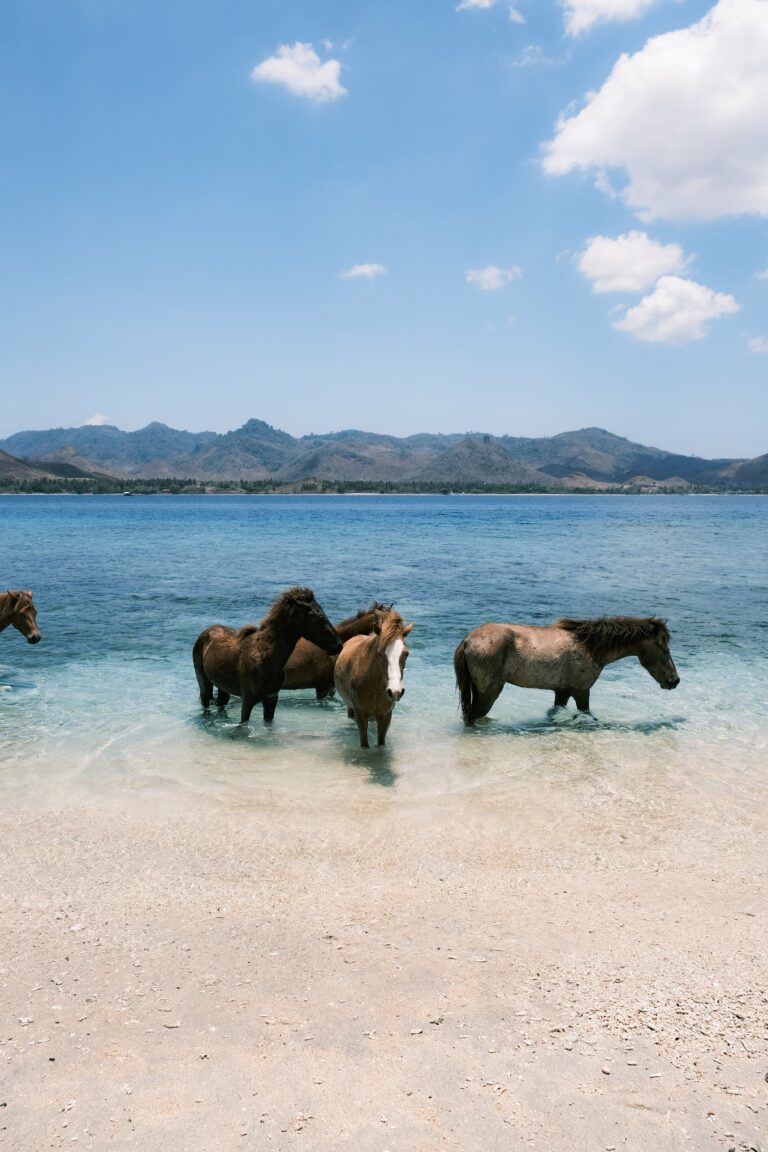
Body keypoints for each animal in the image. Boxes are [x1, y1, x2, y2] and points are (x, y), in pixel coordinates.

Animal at [195, 589, 343, 723]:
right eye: (320, 617)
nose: (339, 645)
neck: (266, 657)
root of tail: (206, 632)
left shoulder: (271, 699)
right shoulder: (247, 701)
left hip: (223, 687)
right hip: (204, 684)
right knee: (206, 704)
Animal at [333, 608, 412, 751]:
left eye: (406, 653)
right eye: (380, 653)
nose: (395, 692)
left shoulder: (386, 716)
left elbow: (381, 742)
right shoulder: (360, 715)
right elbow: (364, 743)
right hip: (351, 709)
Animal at [453, 617, 681, 723]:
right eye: (665, 649)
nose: (675, 680)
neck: (590, 647)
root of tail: (468, 640)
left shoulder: (562, 691)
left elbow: (555, 713)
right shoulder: (581, 690)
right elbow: (587, 714)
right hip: (489, 692)